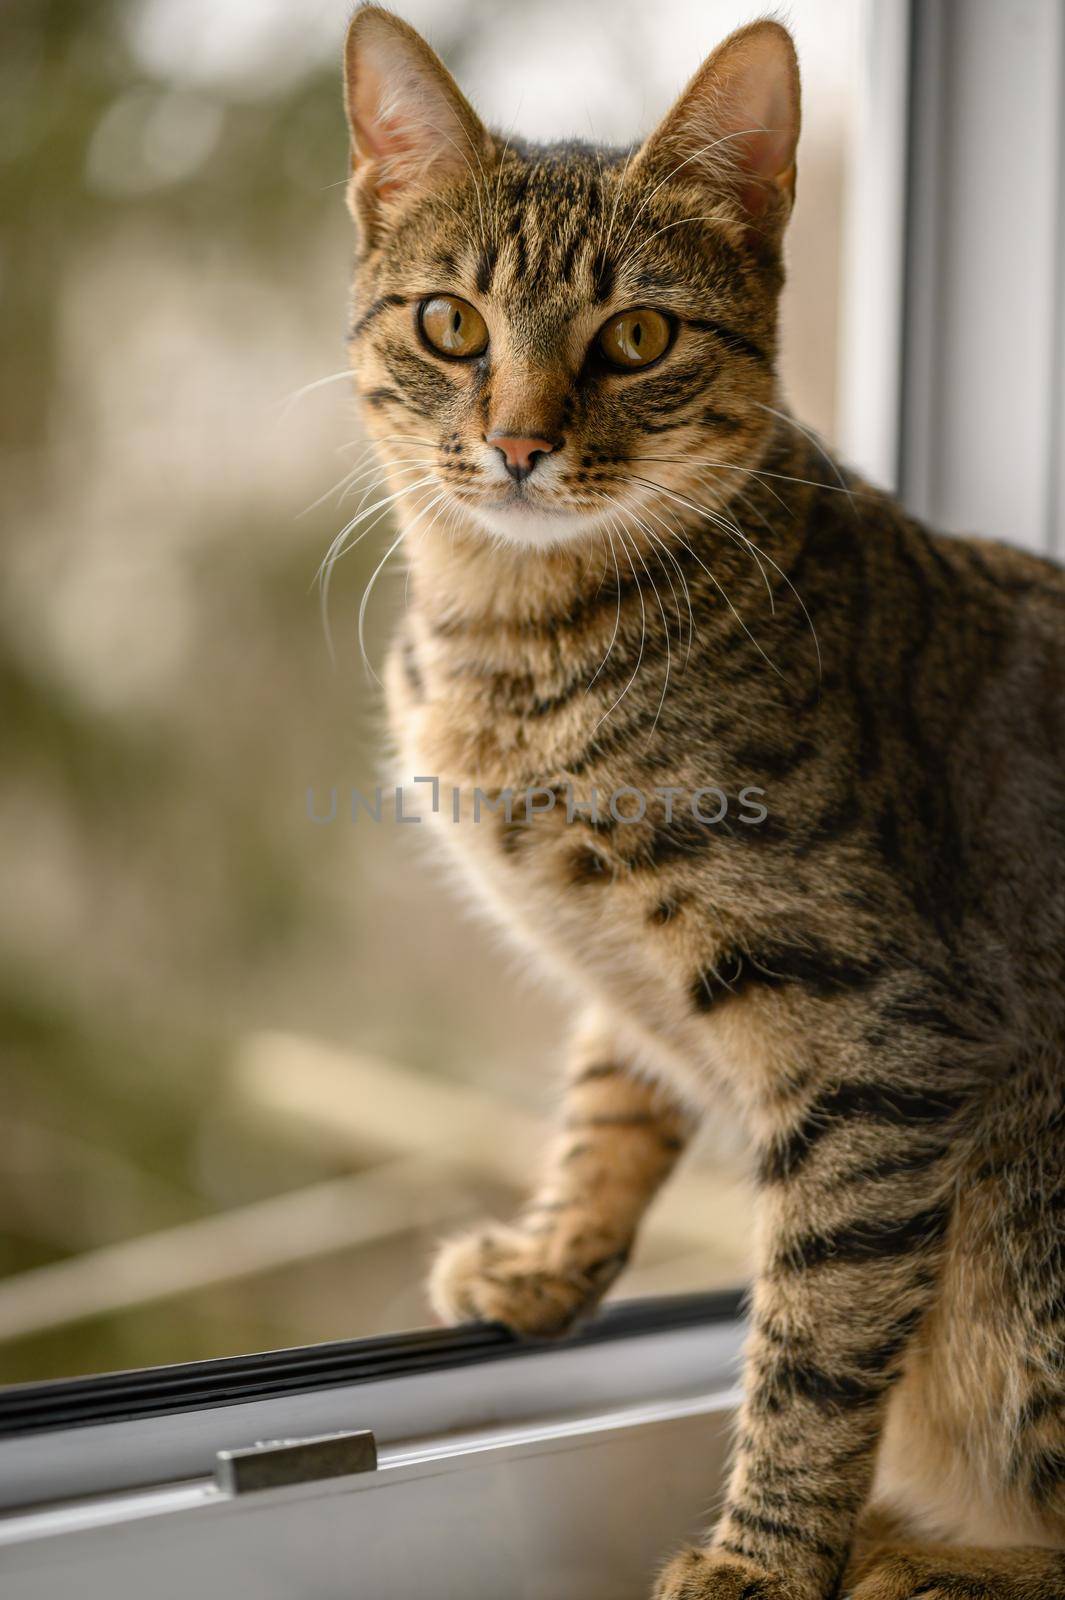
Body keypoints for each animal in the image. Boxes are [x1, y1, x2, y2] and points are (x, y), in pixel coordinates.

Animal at [337, 12, 1061, 1600]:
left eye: (638, 338)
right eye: (452, 326)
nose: (520, 443)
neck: (512, 644)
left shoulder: (877, 1039)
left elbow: (816, 1336)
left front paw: (763, 1559)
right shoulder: (624, 976)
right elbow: (605, 1110)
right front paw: (549, 1259)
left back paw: (927, 1555)